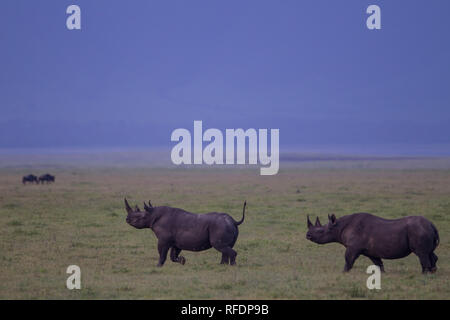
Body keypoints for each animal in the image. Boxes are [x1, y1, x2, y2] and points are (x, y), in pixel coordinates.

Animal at [306, 214, 440, 274]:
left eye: (320, 231)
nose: (308, 235)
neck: (338, 226)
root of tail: (432, 225)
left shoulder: (353, 247)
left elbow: (348, 260)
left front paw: (343, 273)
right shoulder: (371, 251)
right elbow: (378, 263)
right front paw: (382, 274)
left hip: (419, 230)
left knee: (422, 253)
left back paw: (424, 274)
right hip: (424, 230)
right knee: (430, 253)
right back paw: (432, 272)